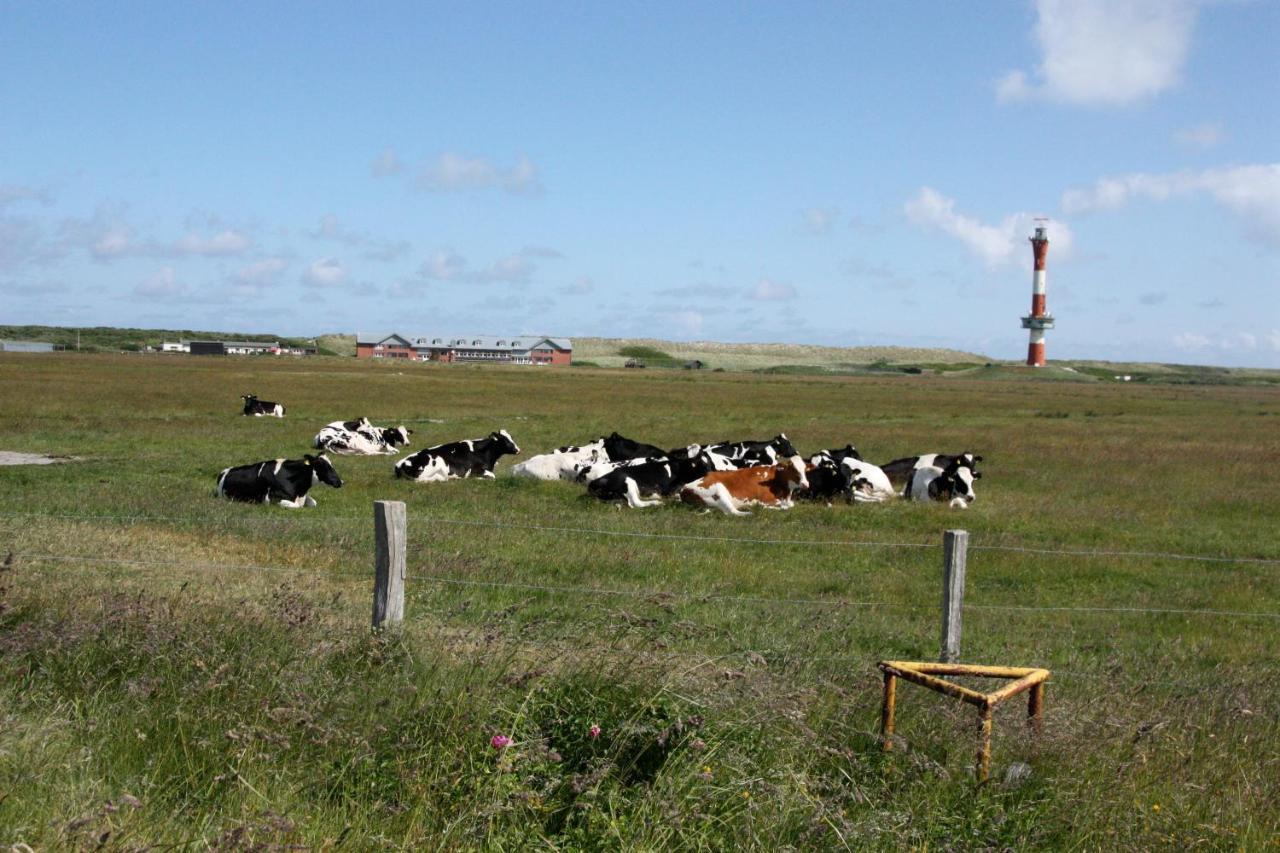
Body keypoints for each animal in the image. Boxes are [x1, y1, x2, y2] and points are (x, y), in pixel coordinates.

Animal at [680, 455, 808, 514]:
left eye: (805, 469)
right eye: (793, 469)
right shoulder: (766, 499)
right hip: (718, 489)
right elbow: (784, 506)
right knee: (732, 512)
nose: (806, 484)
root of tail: (684, 488)